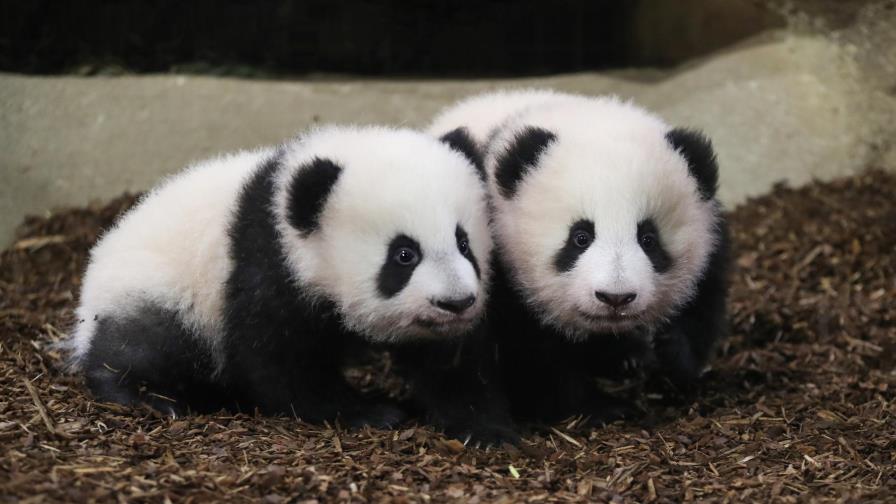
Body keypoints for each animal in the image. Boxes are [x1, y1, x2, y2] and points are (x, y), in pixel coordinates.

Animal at [67, 125, 515, 442]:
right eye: (404, 255)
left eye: (464, 242)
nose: (456, 302)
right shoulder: (265, 267)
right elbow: (277, 361)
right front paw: (371, 412)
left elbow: (449, 361)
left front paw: (485, 428)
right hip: (159, 293)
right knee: (142, 345)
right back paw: (147, 397)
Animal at [429, 90, 730, 423]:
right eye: (580, 237)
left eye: (648, 240)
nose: (615, 297)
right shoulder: (501, 266)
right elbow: (535, 357)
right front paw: (601, 407)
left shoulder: (709, 240)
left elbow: (701, 305)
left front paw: (669, 355)